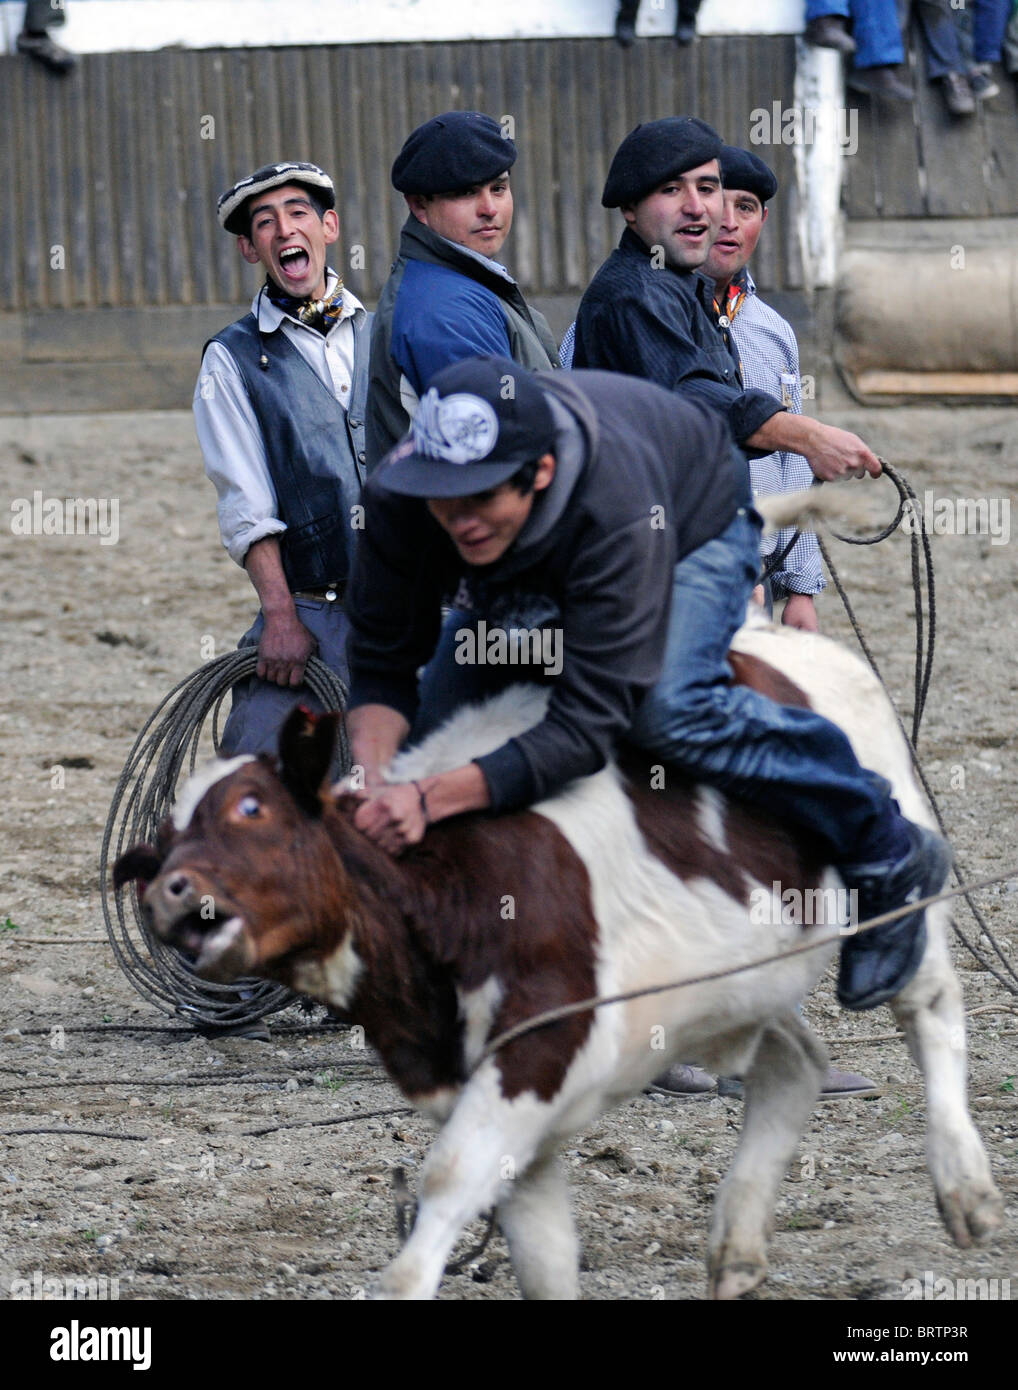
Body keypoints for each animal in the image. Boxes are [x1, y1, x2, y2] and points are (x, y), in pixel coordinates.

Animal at [117, 614, 1001, 1295]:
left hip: (898, 901)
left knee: (929, 1007)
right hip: (733, 987)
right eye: (164, 842)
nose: (171, 892)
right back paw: (737, 1250)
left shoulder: (539, 1048)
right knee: (794, 1063)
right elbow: (541, 1254)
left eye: (253, 808)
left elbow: (444, 1190)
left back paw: (965, 1189)